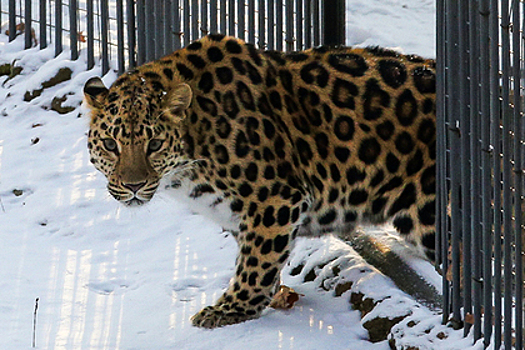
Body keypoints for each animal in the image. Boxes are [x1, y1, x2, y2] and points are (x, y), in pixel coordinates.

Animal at [83, 34, 434, 330]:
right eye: (111, 144)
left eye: (154, 144)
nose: (133, 186)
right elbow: (256, 257)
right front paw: (272, 296)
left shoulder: (276, 200)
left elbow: (256, 262)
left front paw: (230, 310)